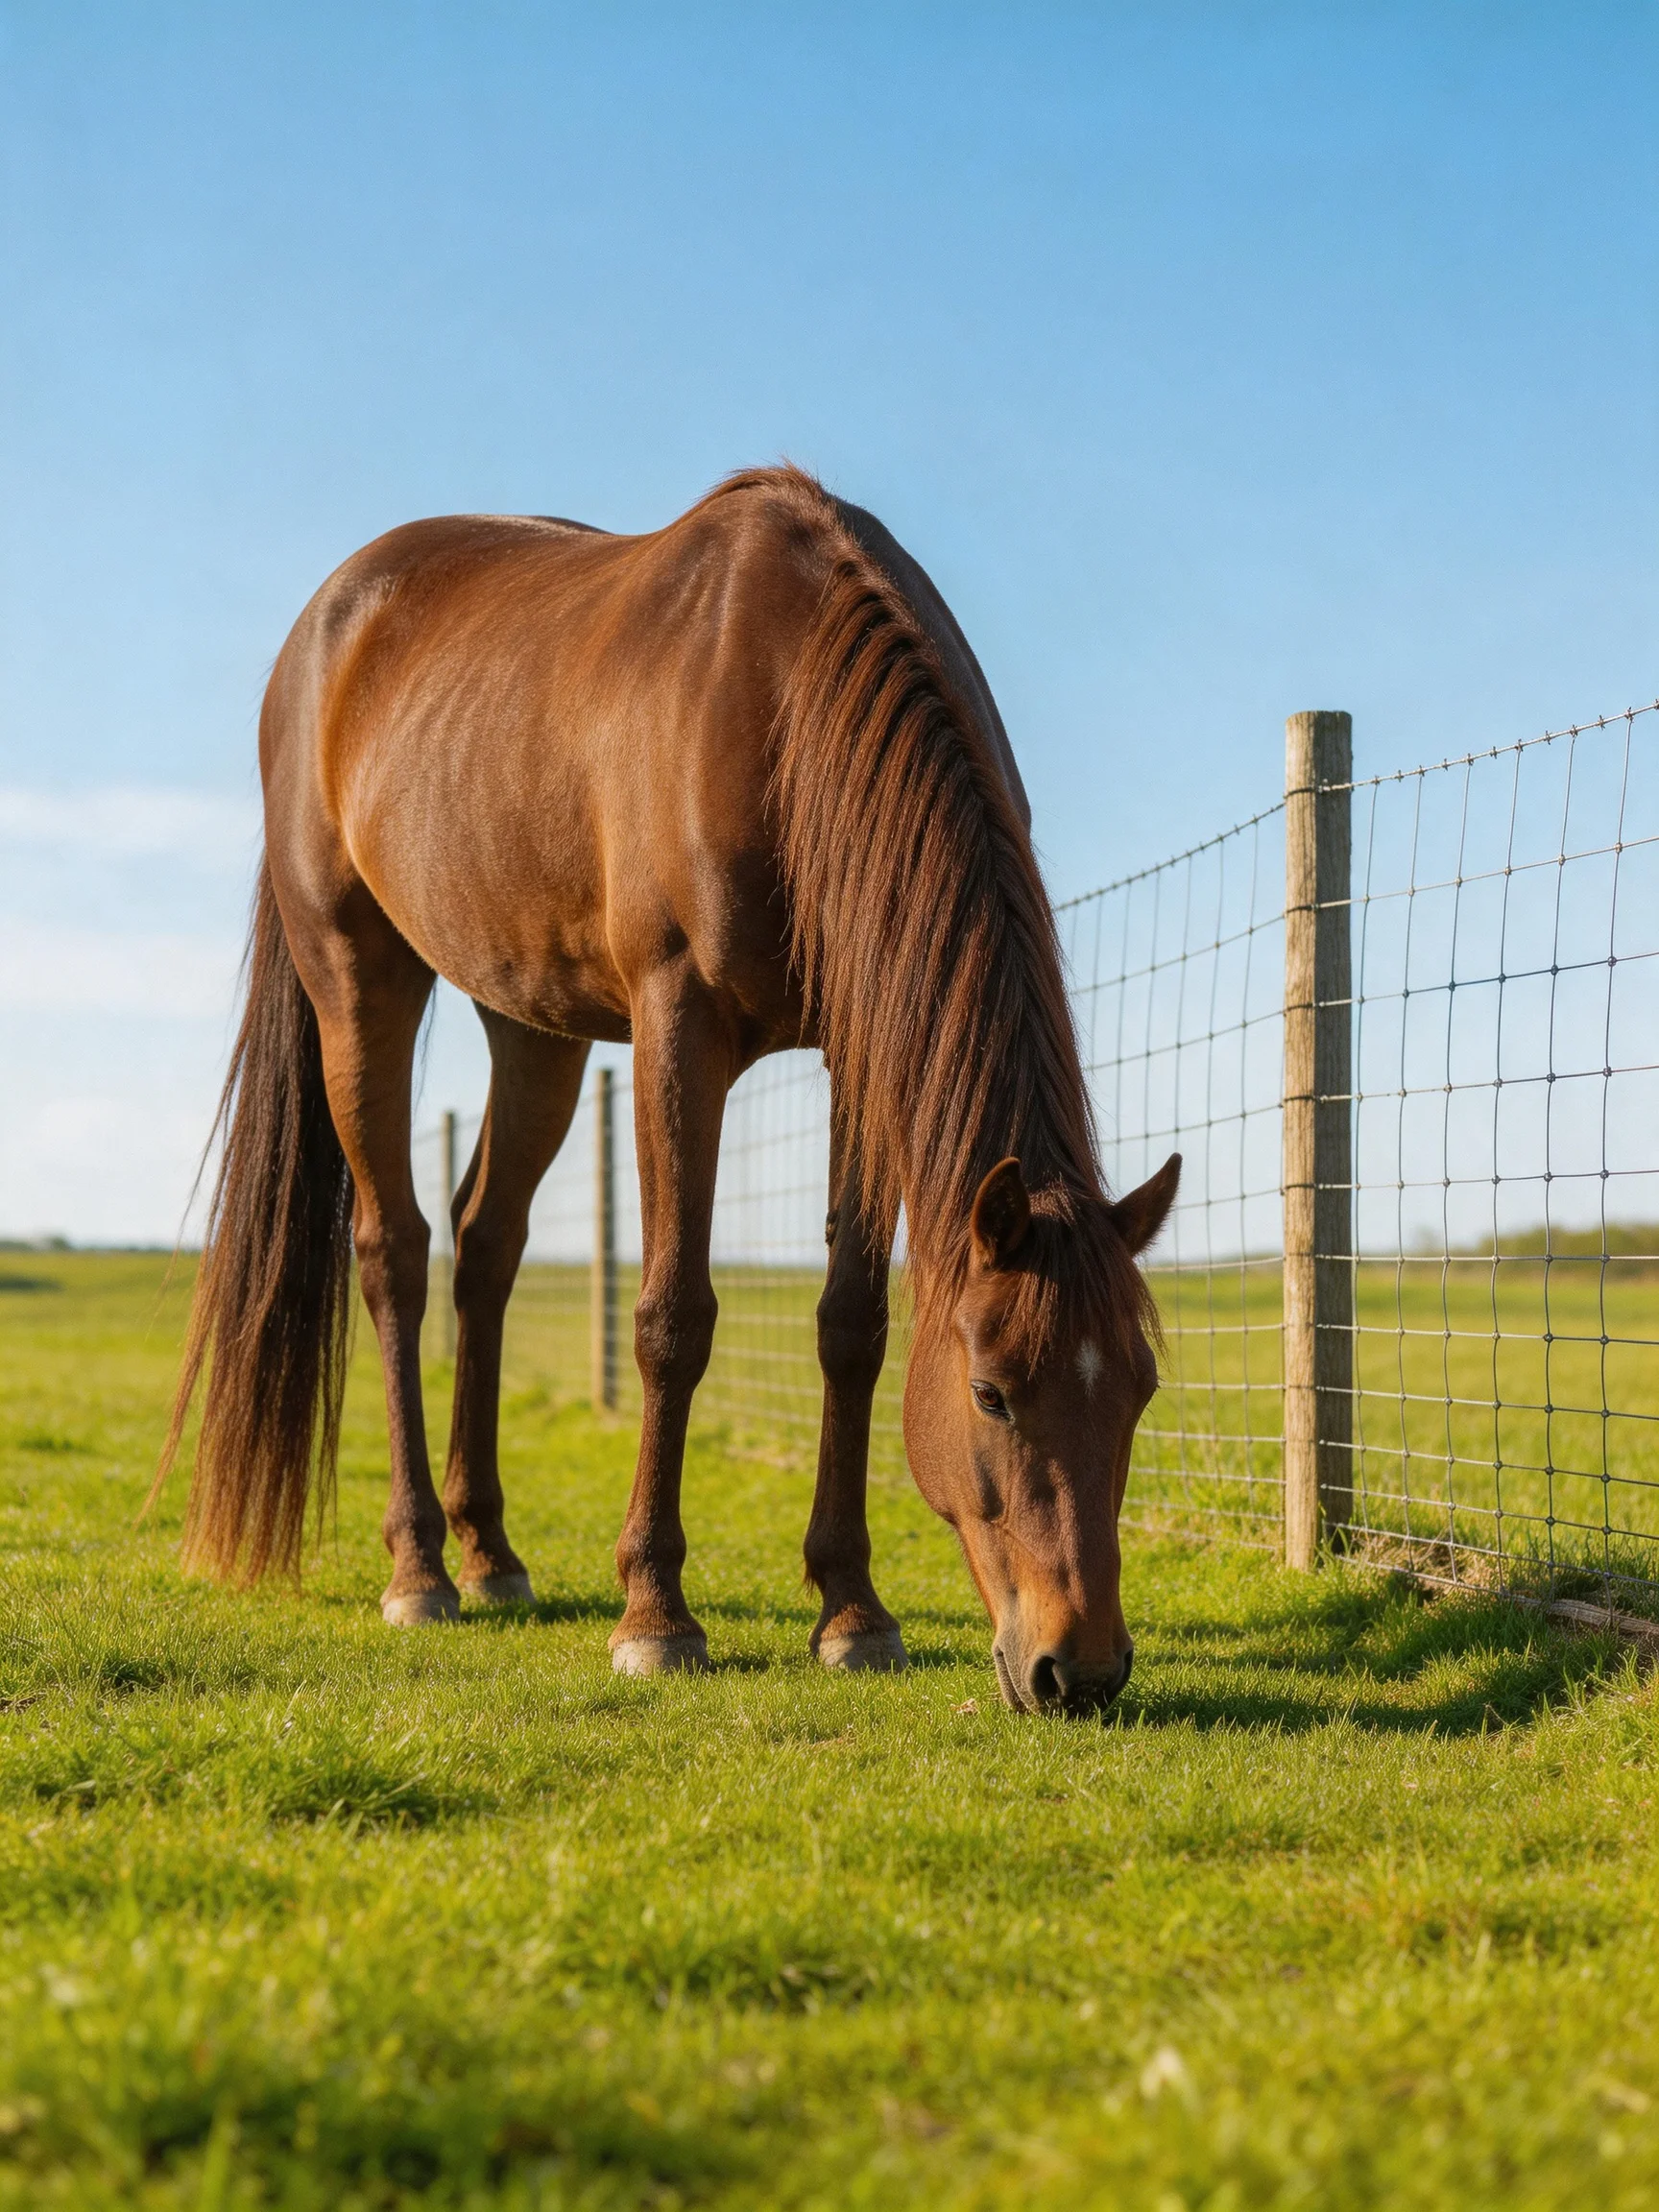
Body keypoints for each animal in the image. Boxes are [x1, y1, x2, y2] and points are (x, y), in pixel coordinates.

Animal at [156, 466, 1179, 1717]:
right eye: (991, 1393)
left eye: (1140, 1390)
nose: (1080, 1669)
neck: (783, 695)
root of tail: (324, 624)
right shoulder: (675, 1028)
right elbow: (672, 1317)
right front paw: (656, 1612)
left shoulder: (856, 1044)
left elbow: (851, 1323)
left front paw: (852, 1609)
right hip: (358, 977)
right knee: (396, 1251)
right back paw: (421, 1571)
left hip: (531, 1024)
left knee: (485, 1245)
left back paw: (490, 1555)